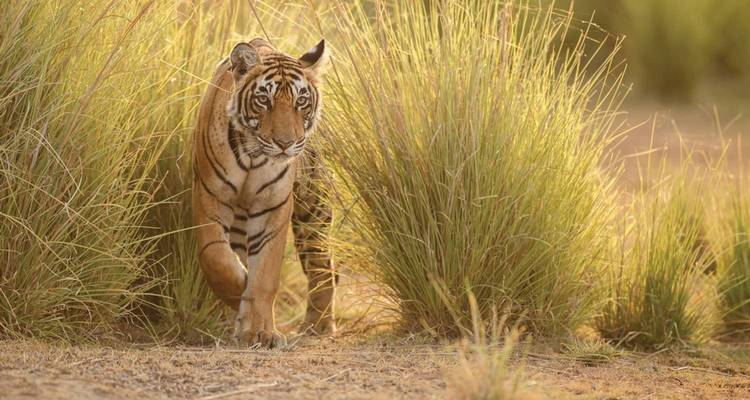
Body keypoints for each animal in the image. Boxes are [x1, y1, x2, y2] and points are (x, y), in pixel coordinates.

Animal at [192, 37, 335, 347]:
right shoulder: (210, 195)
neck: (253, 157)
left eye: (301, 101)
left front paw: (260, 331)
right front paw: (240, 296)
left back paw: (317, 326)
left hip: (313, 211)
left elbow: (265, 274)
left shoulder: (273, 206)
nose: (285, 143)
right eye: (263, 100)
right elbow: (217, 258)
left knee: (323, 267)